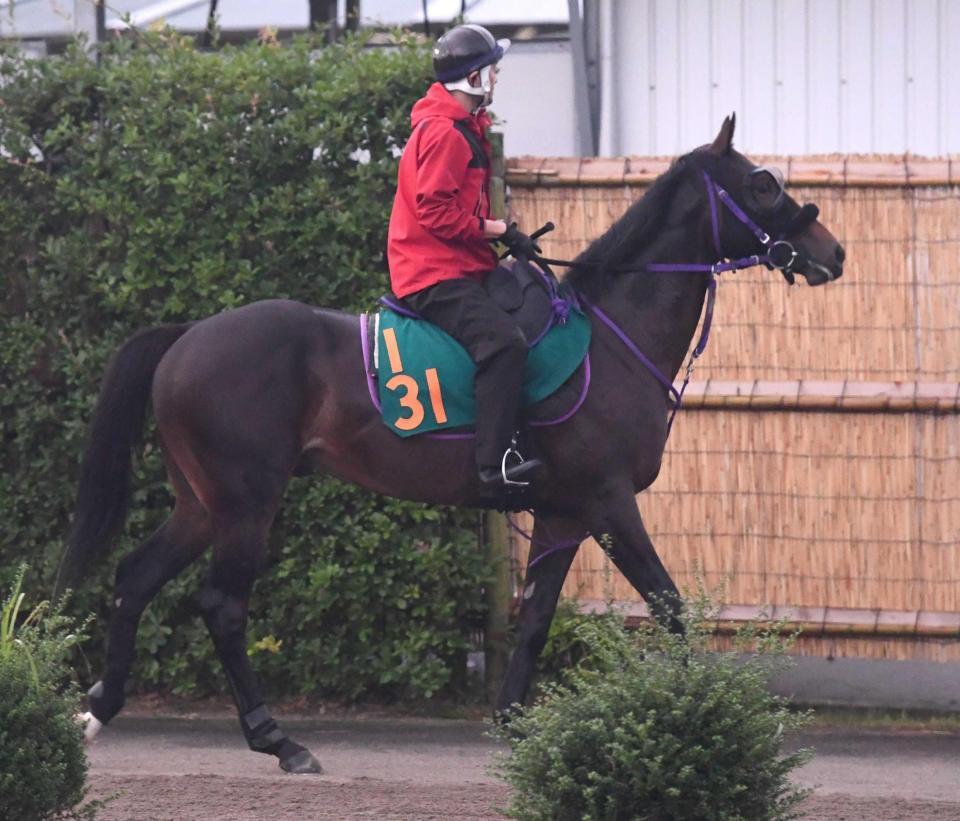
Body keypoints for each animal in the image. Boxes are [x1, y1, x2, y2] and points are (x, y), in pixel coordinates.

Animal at [58, 117, 840, 776]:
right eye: (761, 184)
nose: (831, 251)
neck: (612, 336)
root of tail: (186, 336)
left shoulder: (563, 514)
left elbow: (534, 621)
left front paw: (513, 722)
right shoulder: (608, 503)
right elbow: (670, 605)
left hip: (202, 503)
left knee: (135, 576)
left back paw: (98, 708)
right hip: (246, 503)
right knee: (222, 605)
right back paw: (278, 739)